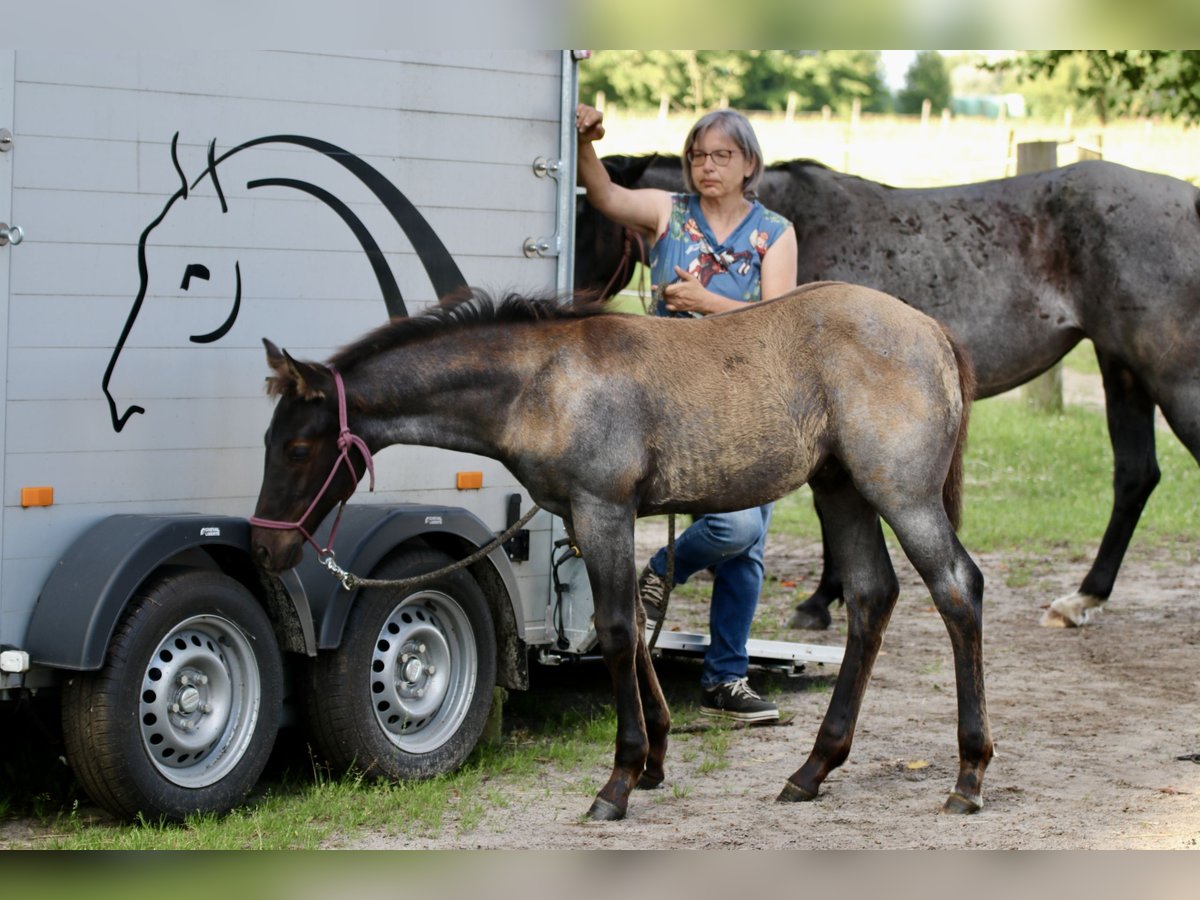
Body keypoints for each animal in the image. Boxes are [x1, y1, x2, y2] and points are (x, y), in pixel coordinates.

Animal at [248, 283, 988, 825]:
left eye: (298, 447)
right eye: (269, 442)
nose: (265, 546)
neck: (543, 382)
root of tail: (934, 331)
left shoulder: (601, 507)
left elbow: (611, 629)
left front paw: (619, 780)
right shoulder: (592, 517)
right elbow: (631, 625)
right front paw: (656, 757)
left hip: (900, 492)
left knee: (958, 588)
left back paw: (969, 775)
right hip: (840, 488)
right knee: (870, 596)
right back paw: (812, 769)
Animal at [573, 154, 1200, 628]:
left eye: (585, 210)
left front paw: (821, 599)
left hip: (1169, 378)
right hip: (1122, 367)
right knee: (1135, 475)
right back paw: (1082, 598)